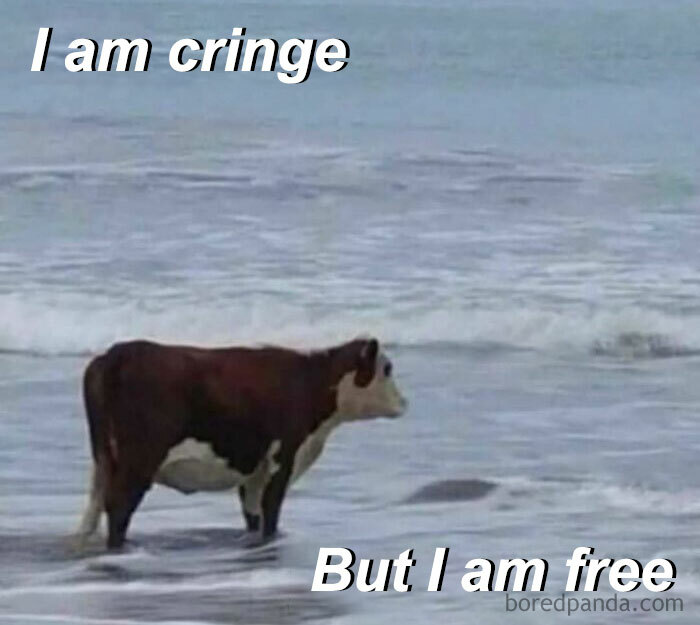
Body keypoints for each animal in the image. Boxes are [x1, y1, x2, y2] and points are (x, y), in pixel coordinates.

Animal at [73, 336, 407, 550]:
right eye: (387, 368)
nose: (404, 402)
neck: (309, 383)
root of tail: (114, 355)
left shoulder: (254, 472)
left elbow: (253, 514)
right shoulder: (282, 459)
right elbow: (270, 512)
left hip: (104, 461)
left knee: (94, 508)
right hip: (139, 460)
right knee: (118, 508)